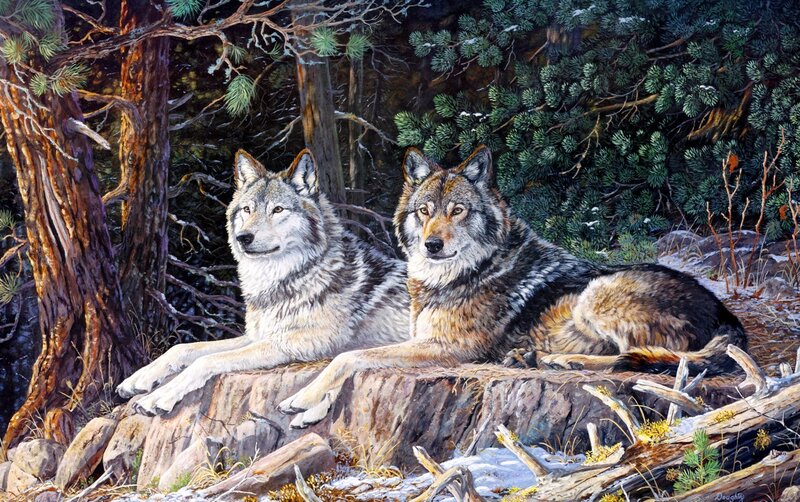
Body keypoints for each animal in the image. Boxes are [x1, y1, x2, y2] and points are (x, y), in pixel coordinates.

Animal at [118, 149, 410, 415]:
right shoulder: (257, 335)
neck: (287, 277)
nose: (243, 237)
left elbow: (206, 360)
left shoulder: (295, 342)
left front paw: (160, 396)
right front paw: (137, 379)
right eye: (247, 210)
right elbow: (183, 349)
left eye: (277, 210)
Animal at [279, 145, 747, 428]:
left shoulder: (447, 349)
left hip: (597, 295)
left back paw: (558, 362)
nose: (432, 245)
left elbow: (350, 357)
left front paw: (303, 398)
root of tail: (728, 315)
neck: (465, 272)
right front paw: (308, 412)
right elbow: (354, 360)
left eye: (458, 210)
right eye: (425, 211)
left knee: (640, 358)